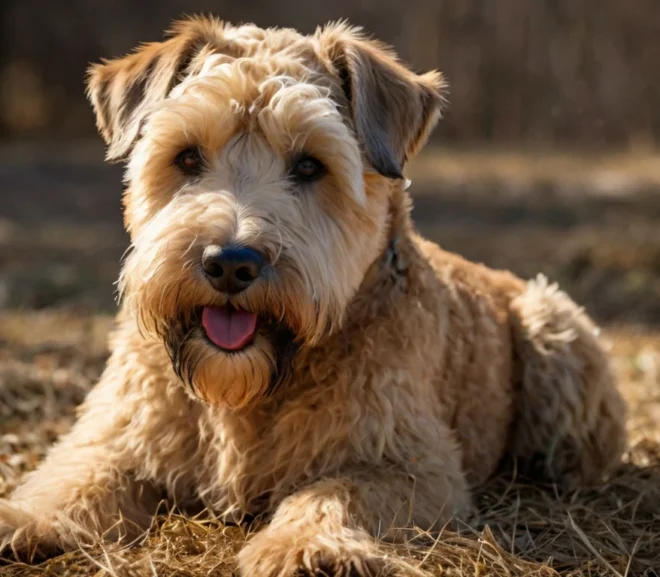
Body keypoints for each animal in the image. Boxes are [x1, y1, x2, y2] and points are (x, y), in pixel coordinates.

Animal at [0, 15, 628, 572]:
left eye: (309, 165)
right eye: (187, 156)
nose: (229, 263)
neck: (248, 400)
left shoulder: (409, 466)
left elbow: (333, 493)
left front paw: (307, 548)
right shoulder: (110, 441)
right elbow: (70, 483)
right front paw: (23, 520)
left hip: (556, 328)